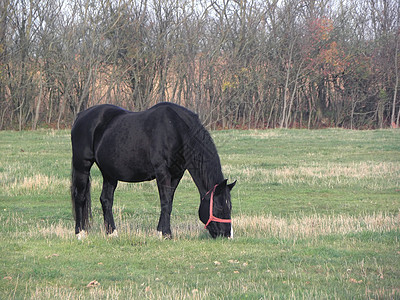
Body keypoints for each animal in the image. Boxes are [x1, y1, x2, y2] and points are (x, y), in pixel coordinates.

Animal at [70, 103, 236, 239]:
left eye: (230, 206)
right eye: (220, 206)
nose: (227, 234)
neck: (176, 129)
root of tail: (81, 115)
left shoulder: (176, 174)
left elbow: (169, 202)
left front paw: (162, 232)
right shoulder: (162, 172)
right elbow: (165, 202)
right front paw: (166, 234)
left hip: (109, 172)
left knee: (106, 200)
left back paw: (112, 233)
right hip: (82, 166)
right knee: (80, 197)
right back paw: (80, 233)